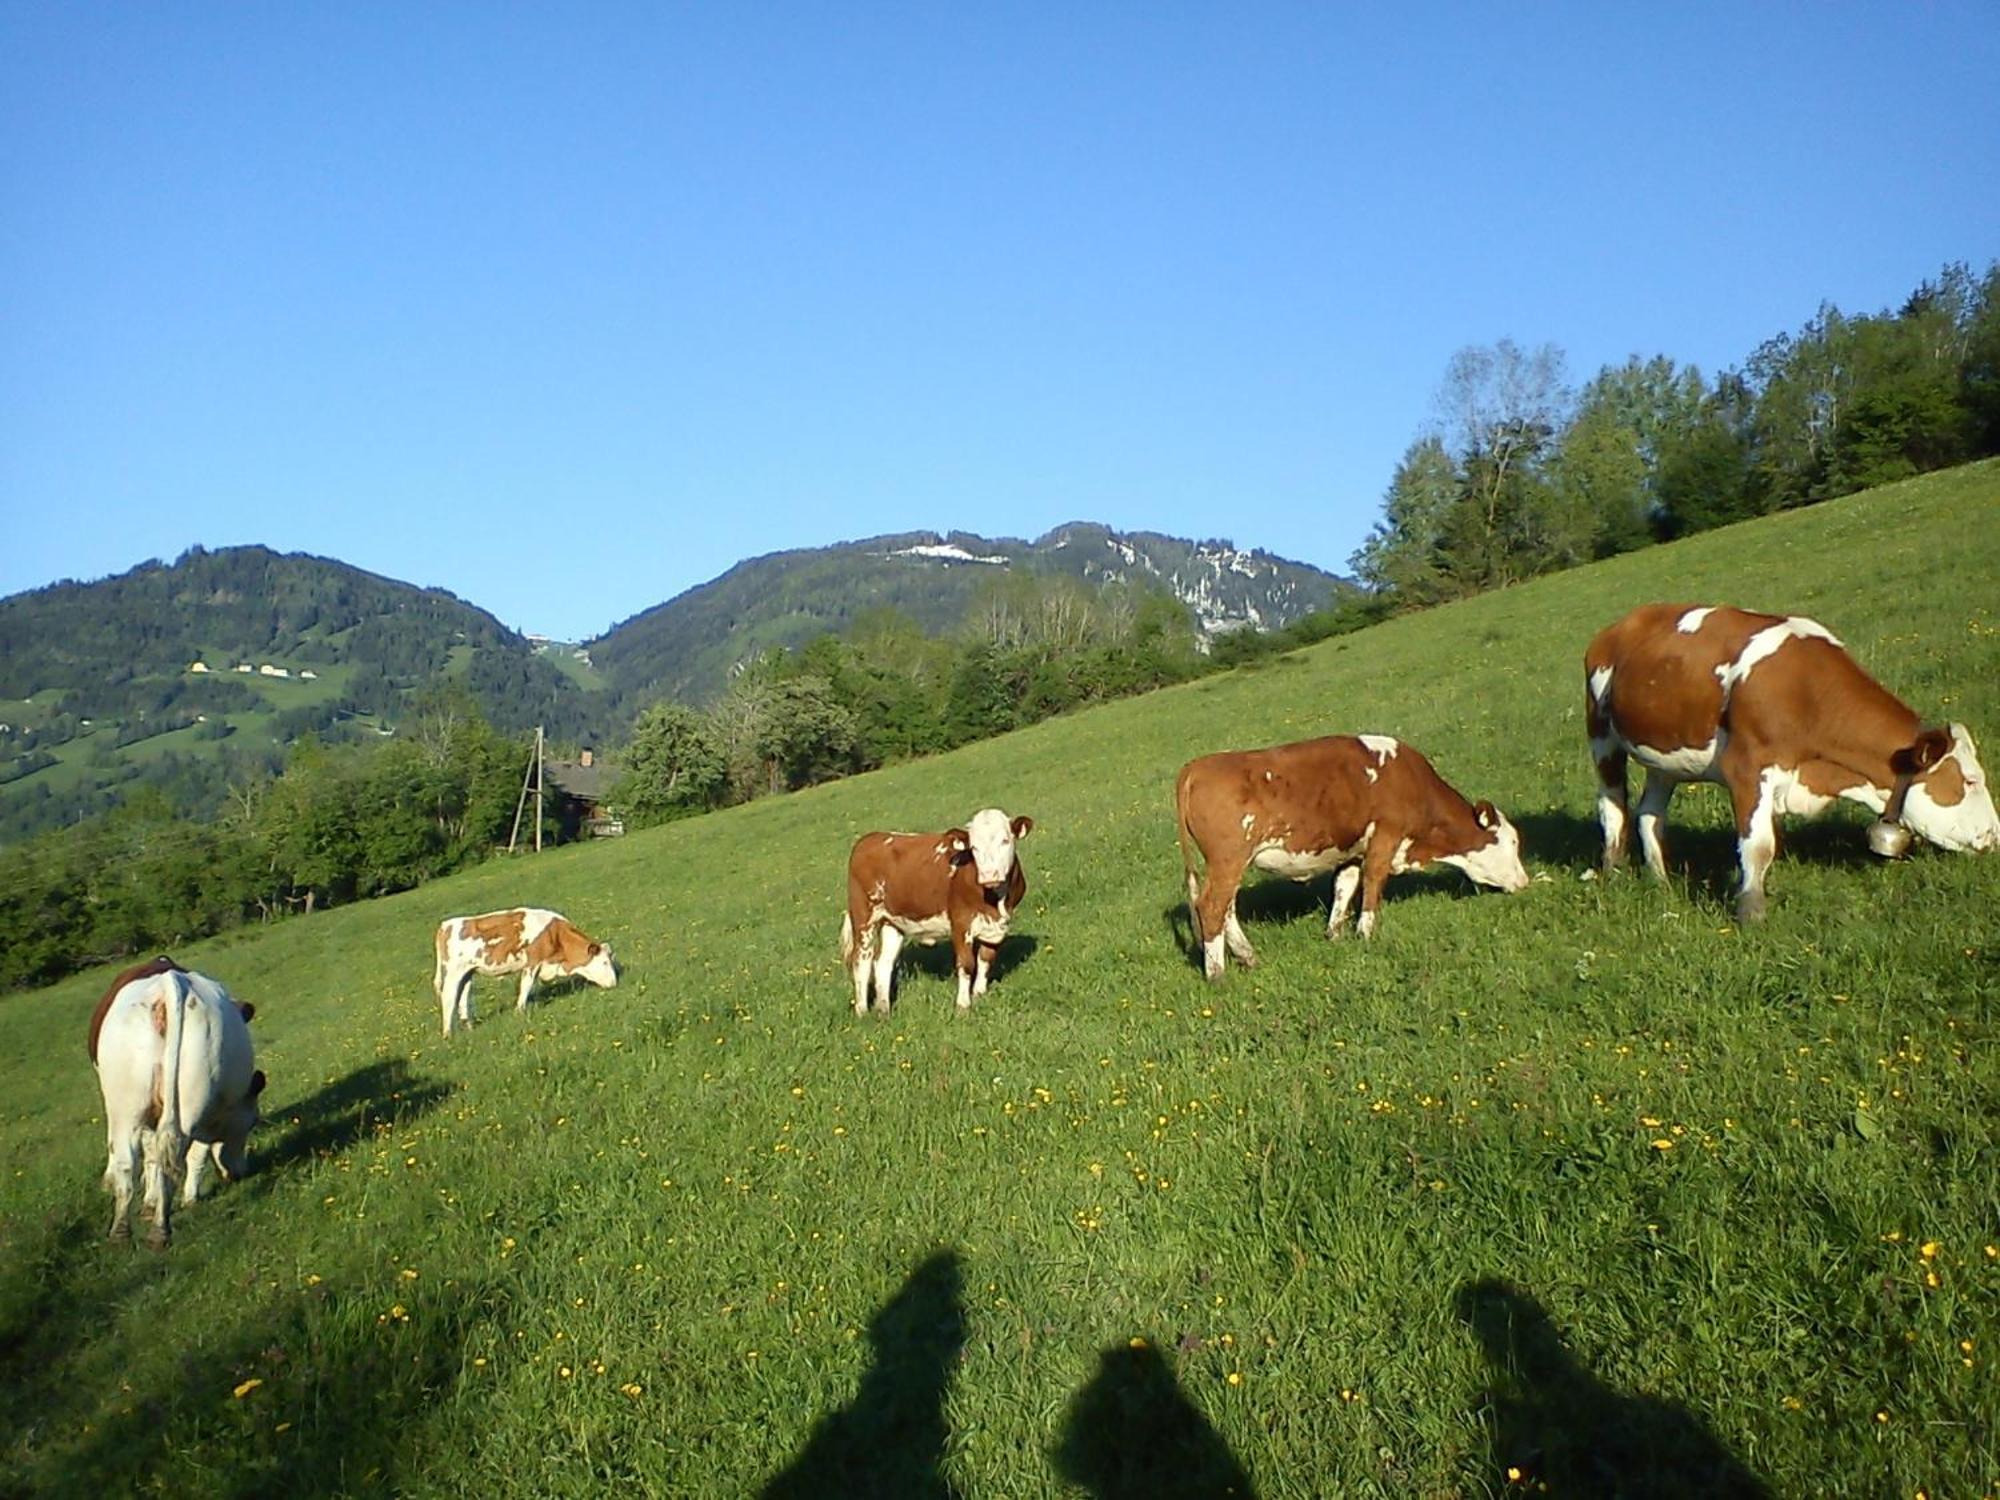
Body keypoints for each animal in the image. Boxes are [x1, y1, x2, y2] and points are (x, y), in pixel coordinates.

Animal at [91, 964, 264, 1248]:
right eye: (252, 1123)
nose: (241, 1173)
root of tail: (170, 983)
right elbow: (192, 1154)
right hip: (179, 1103)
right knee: (163, 1158)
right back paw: (147, 1228)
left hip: (130, 1108)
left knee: (137, 1159)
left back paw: (136, 1229)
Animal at [434, 912, 620, 1040]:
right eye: (605, 962)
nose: (614, 983)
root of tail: (445, 925)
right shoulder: (533, 962)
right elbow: (526, 986)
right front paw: (520, 1012)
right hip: (454, 971)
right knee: (448, 997)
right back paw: (447, 1034)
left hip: (467, 972)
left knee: (463, 997)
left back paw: (469, 1027)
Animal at [840, 812, 1032, 1024]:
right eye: (973, 847)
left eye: (1005, 840)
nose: (989, 875)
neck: (995, 902)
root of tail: (870, 839)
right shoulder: (961, 923)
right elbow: (966, 965)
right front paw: (963, 1006)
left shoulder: (997, 927)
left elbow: (985, 960)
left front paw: (979, 996)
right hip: (863, 916)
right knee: (861, 961)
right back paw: (862, 1011)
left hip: (893, 922)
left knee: (883, 963)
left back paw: (884, 1010)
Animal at [1168, 740, 1528, 988]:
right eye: (1512, 842)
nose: (1525, 882)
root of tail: (1196, 766)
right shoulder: (1386, 836)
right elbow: (1373, 882)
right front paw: (1365, 935)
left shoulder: (1353, 850)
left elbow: (1345, 886)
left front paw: (1335, 934)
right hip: (1229, 858)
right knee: (1212, 907)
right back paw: (1217, 974)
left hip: (1227, 865)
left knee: (1224, 907)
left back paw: (1248, 957)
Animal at [1584, 604, 1992, 924]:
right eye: (1970, 781)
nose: (1994, 836)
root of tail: (1619, 625)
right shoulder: (1747, 769)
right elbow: (1759, 845)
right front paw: (1751, 914)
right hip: (1603, 738)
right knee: (1613, 807)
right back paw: (1615, 872)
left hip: (1665, 758)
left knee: (1650, 814)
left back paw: (1660, 881)